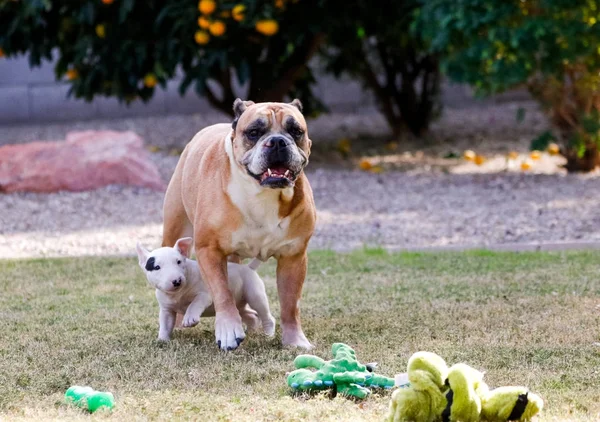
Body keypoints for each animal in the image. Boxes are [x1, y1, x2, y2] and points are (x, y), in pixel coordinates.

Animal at [136, 237, 274, 342]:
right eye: (156, 267)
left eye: (179, 261)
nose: (177, 281)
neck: (178, 294)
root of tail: (249, 267)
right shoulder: (166, 309)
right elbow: (165, 323)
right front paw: (162, 340)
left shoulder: (205, 295)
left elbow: (195, 303)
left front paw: (190, 319)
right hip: (239, 304)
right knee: (251, 315)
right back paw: (250, 331)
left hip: (254, 294)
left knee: (265, 314)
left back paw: (268, 333)